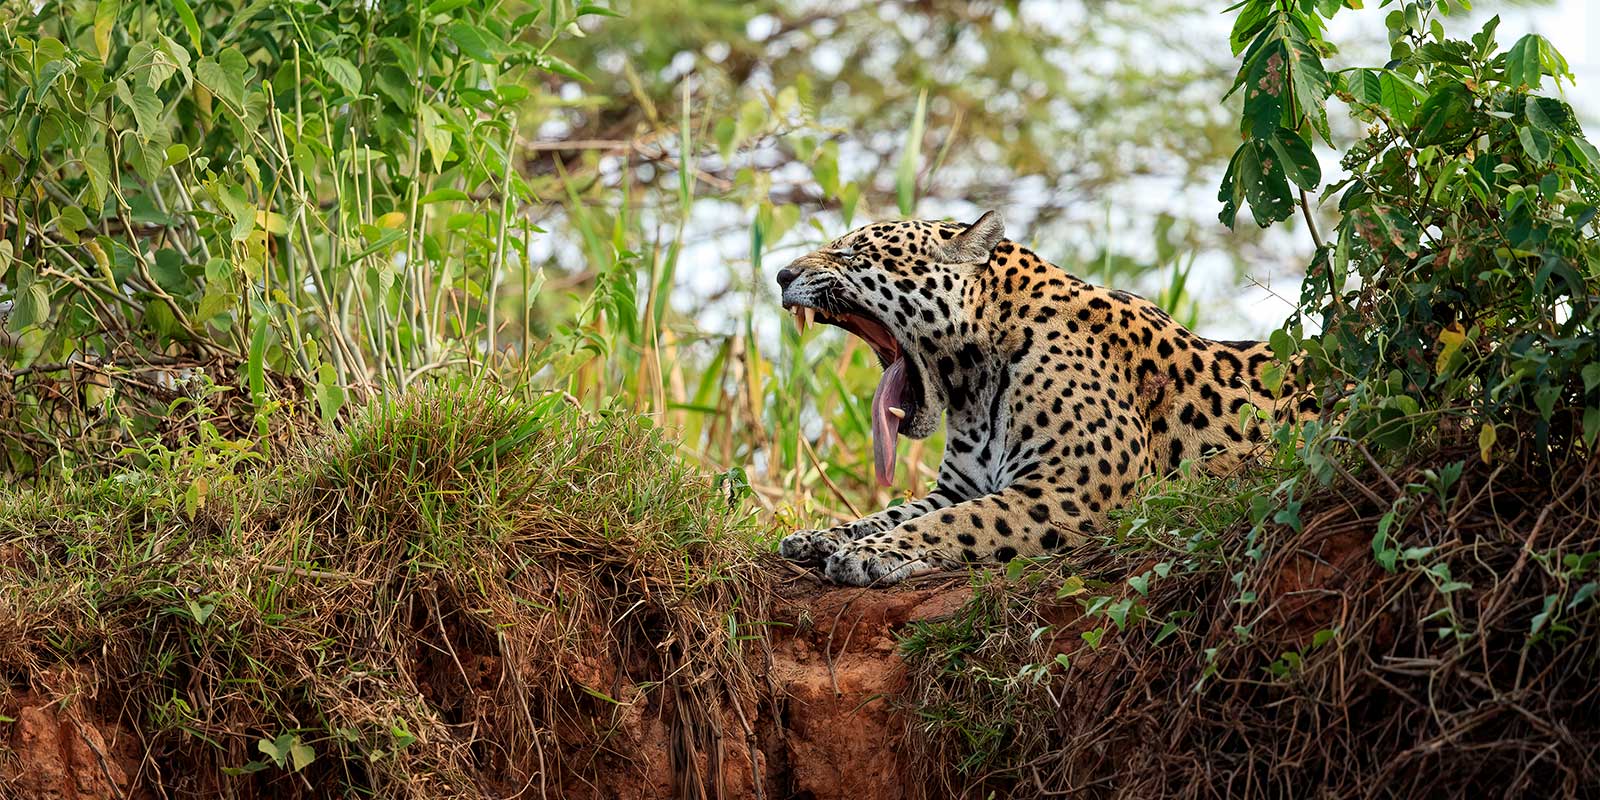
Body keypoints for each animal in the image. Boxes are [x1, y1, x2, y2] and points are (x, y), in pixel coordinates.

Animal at [775, 211, 1313, 586]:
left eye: (852, 254)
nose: (781, 275)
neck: (974, 384)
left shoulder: (1066, 490)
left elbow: (956, 522)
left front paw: (867, 554)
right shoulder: (958, 486)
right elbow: (892, 514)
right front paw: (819, 537)